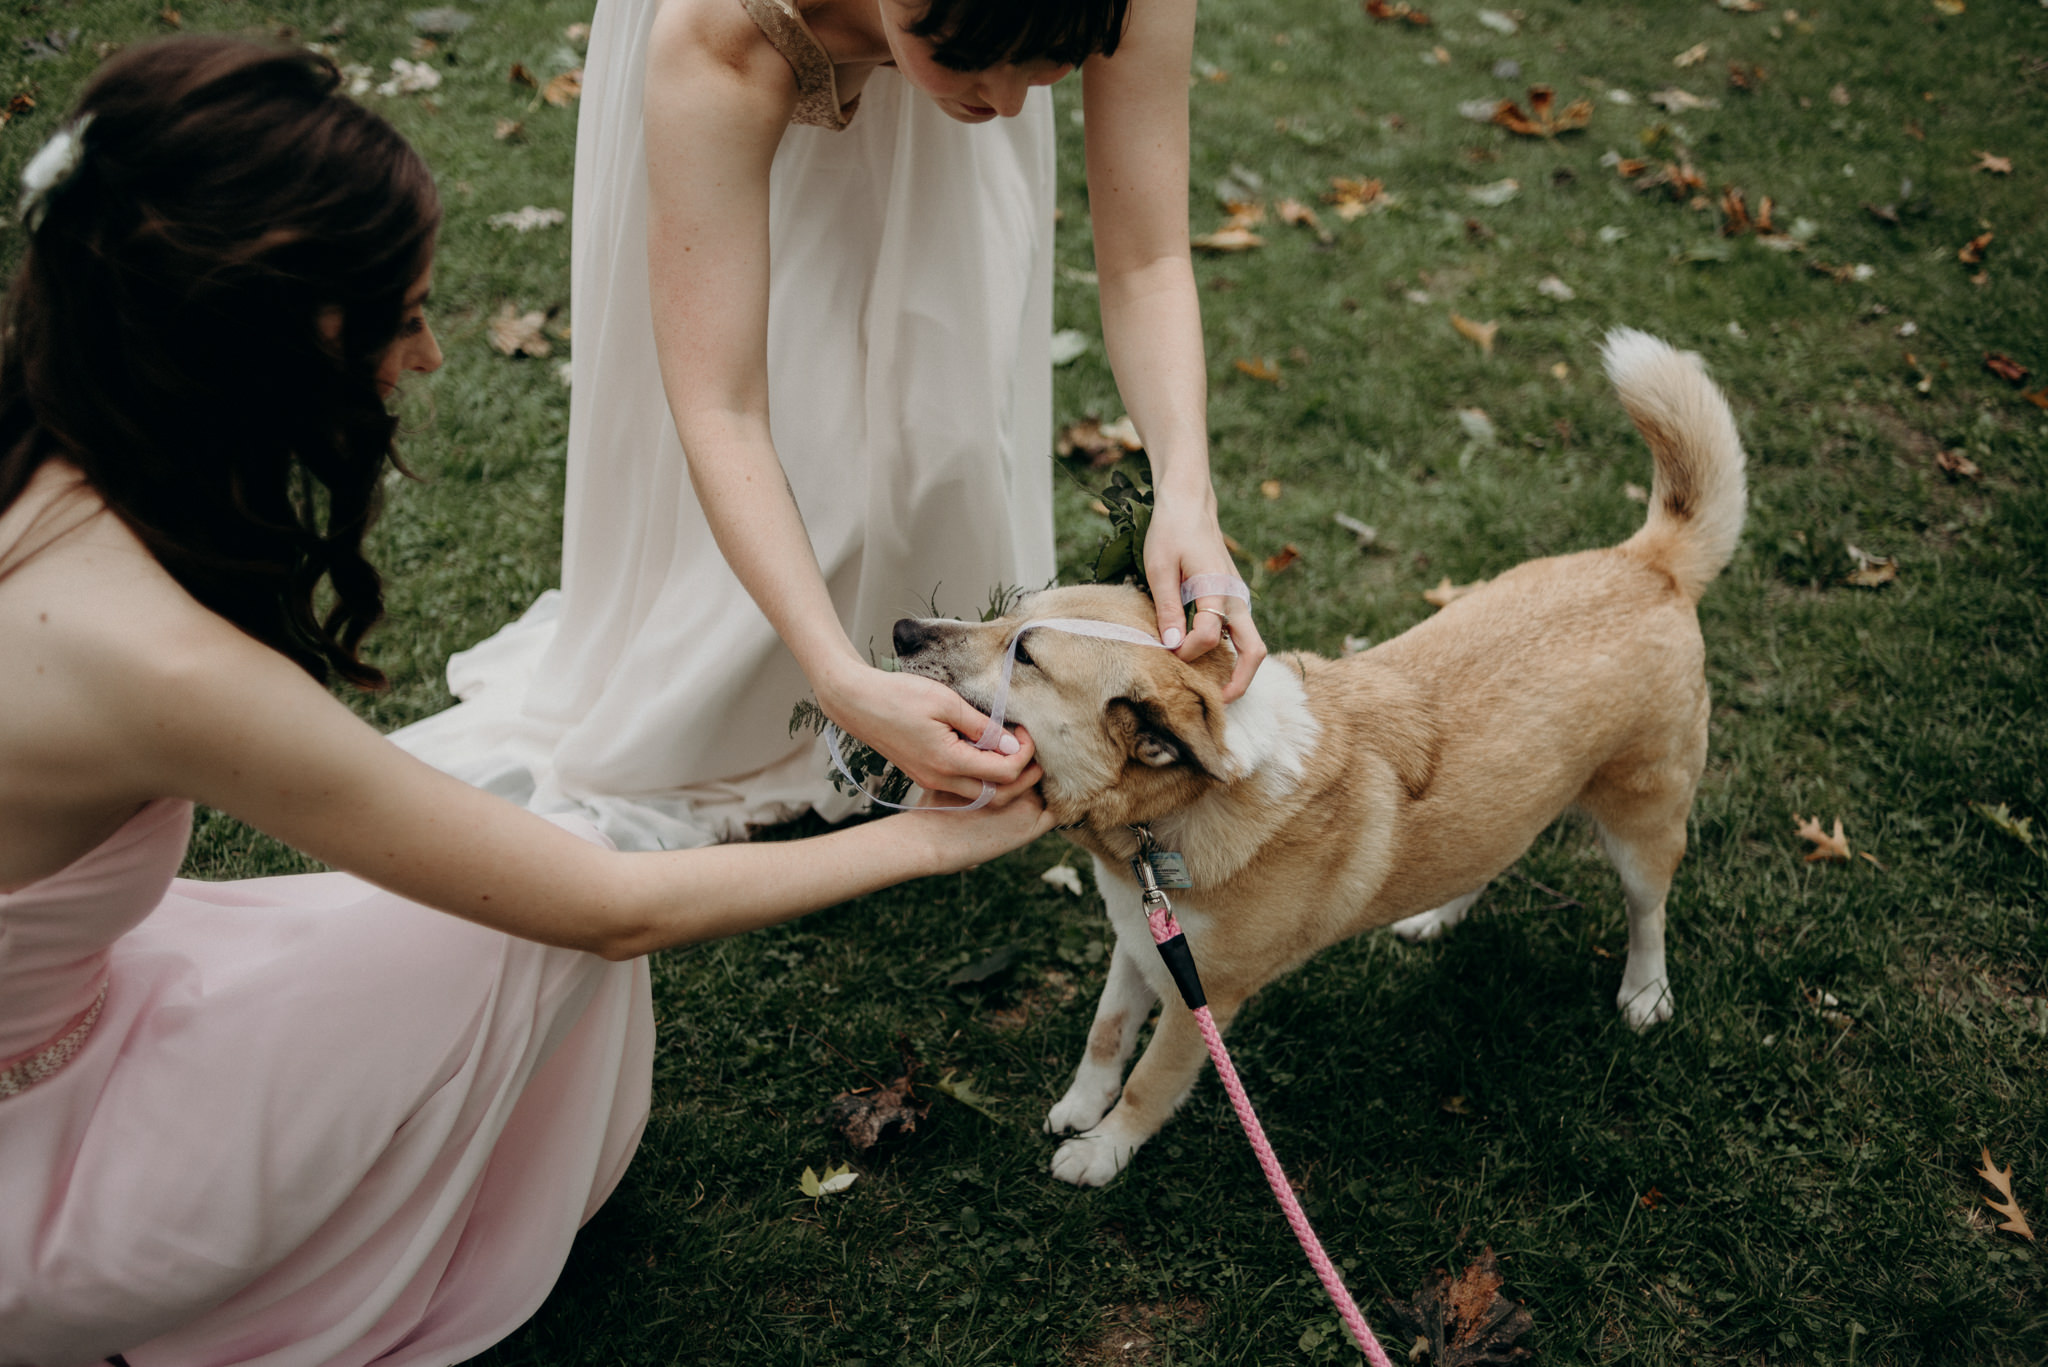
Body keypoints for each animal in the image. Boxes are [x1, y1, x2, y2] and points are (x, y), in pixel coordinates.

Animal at [897, 332, 1744, 1188]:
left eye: (1026, 656)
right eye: (1011, 613)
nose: (901, 630)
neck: (1169, 819)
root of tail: (1650, 562)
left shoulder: (1203, 999)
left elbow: (1149, 1080)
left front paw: (1103, 1149)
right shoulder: (1142, 942)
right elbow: (1106, 1035)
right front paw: (1079, 1107)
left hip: (1645, 826)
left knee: (1647, 910)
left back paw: (1644, 993)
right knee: (1493, 853)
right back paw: (1439, 913)